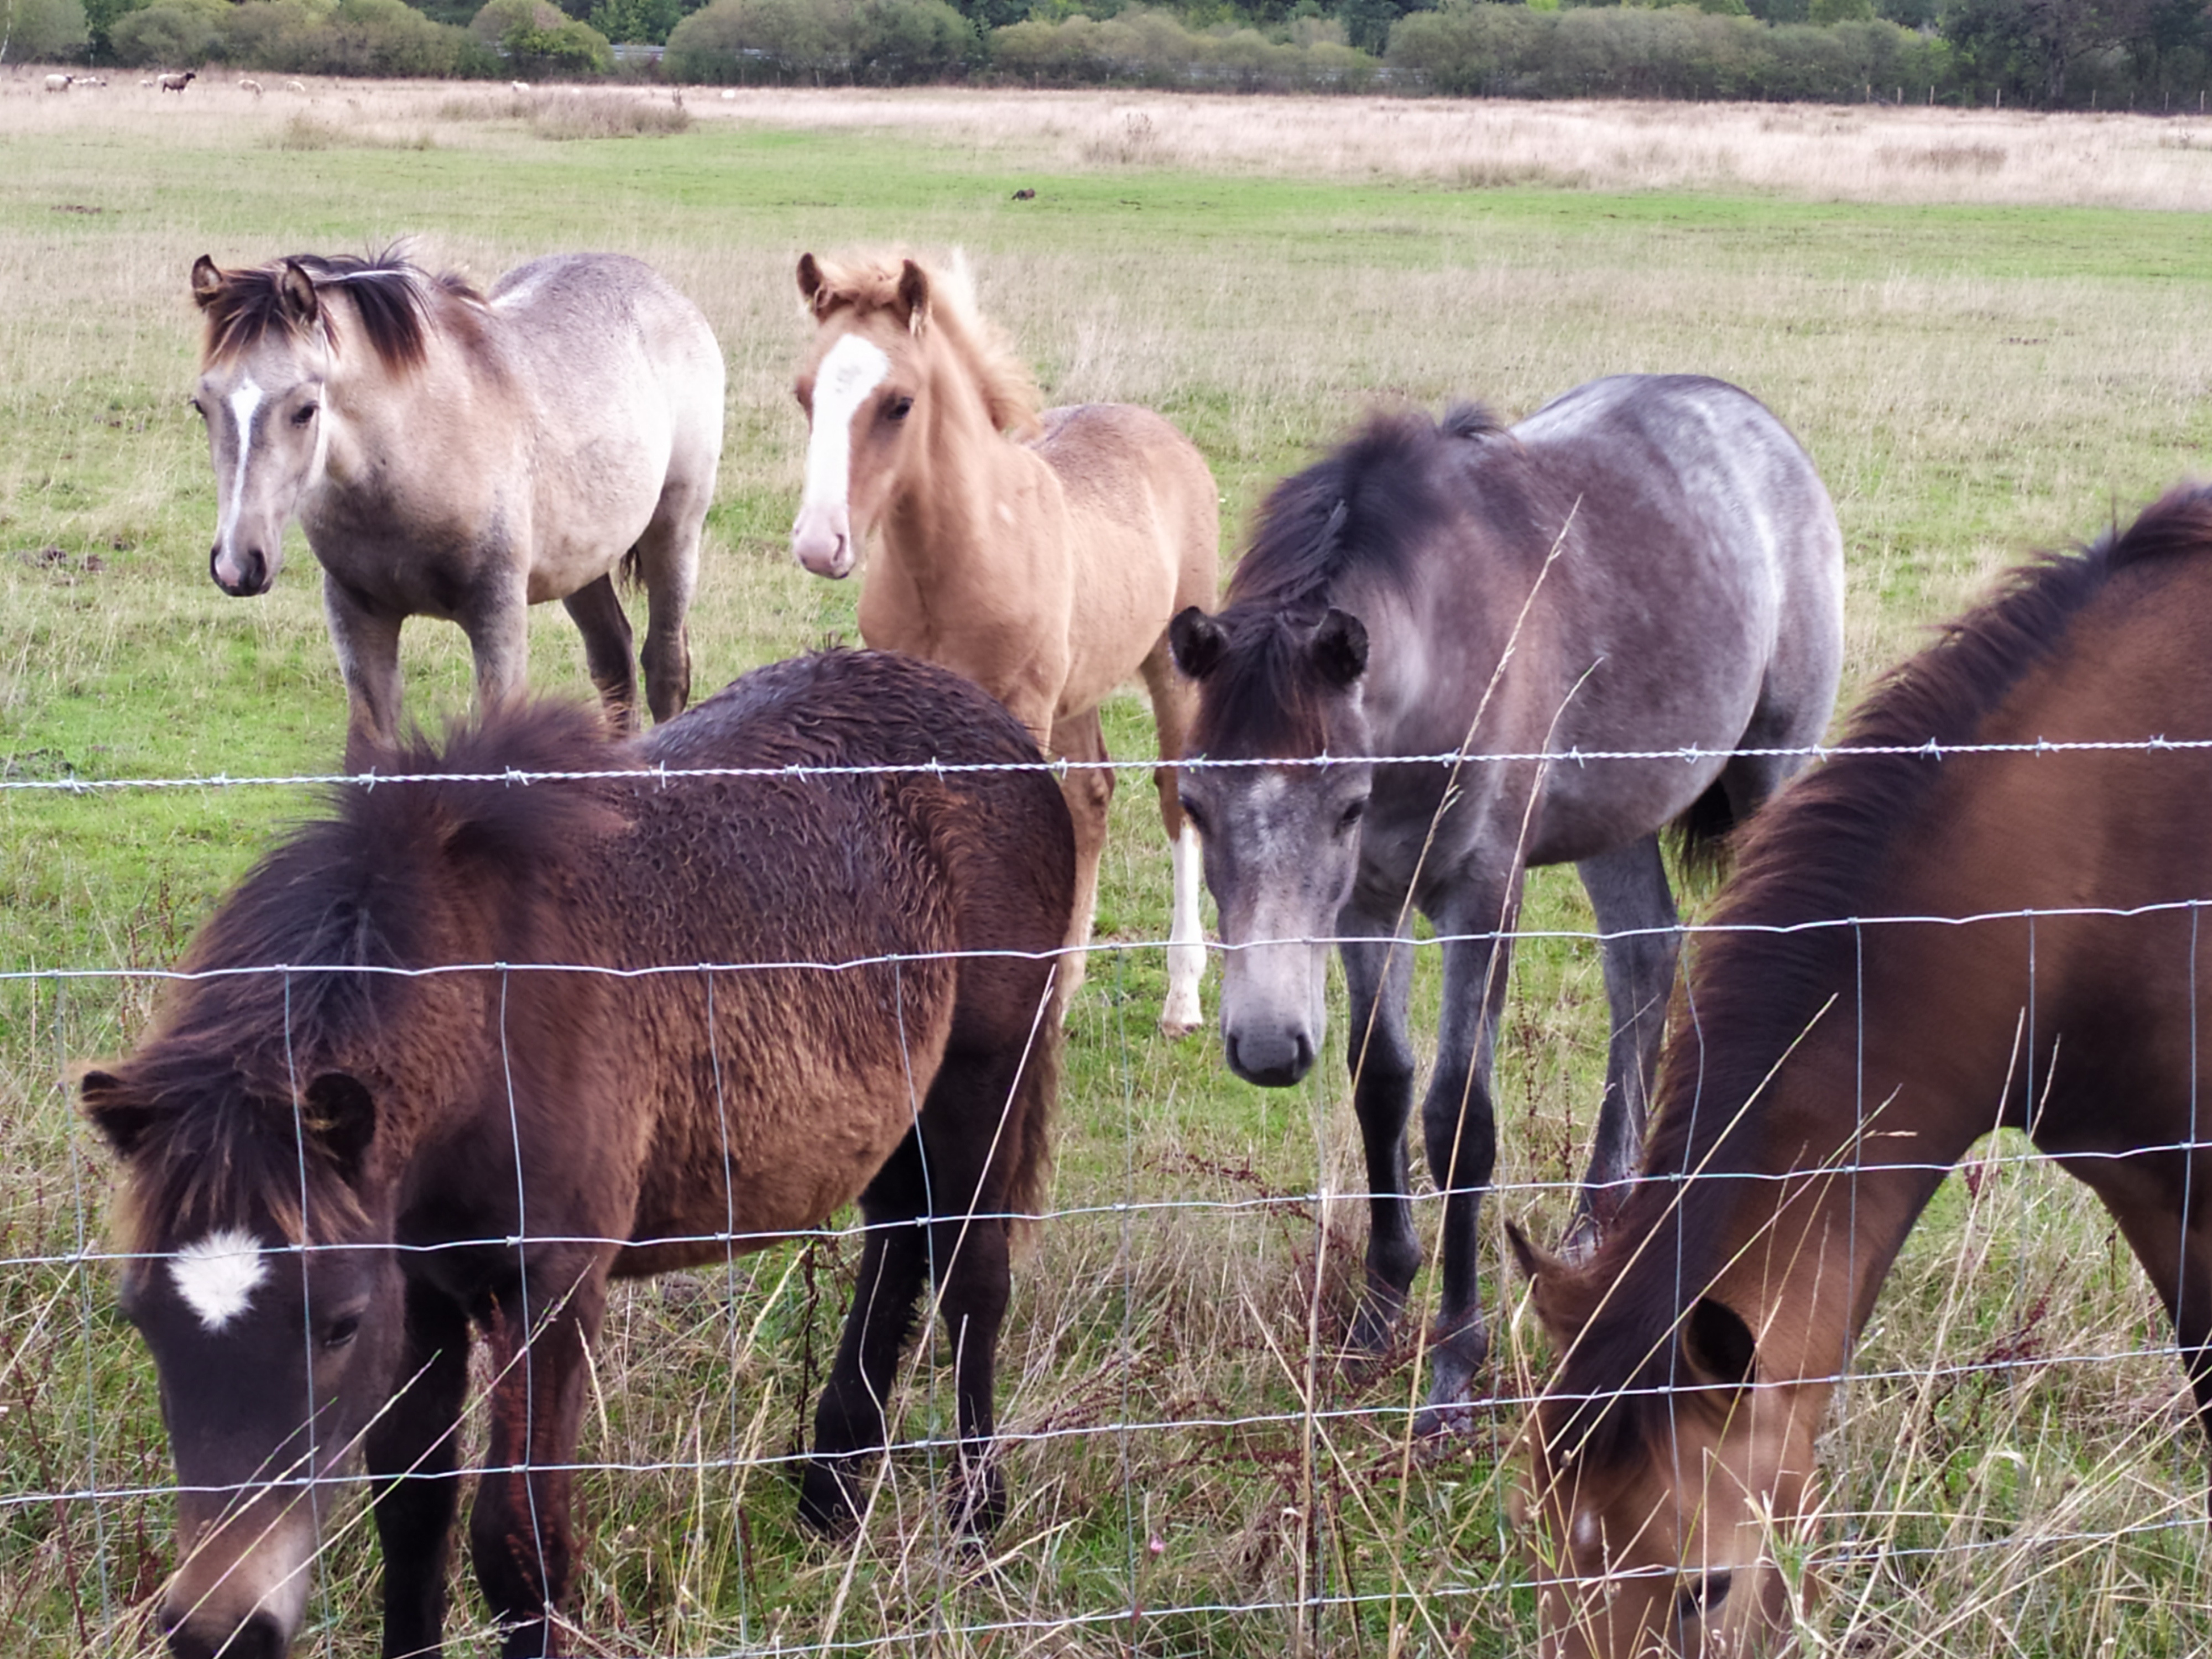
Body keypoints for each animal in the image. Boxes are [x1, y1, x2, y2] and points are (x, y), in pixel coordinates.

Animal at [81, 650, 1073, 1659]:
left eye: (339, 1325)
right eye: (140, 1319)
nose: (220, 1628)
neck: (484, 1006)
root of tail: (997, 725)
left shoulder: (551, 1287)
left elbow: (519, 1543)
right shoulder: (421, 1285)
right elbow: (412, 1512)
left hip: (984, 1078)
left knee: (972, 1275)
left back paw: (973, 1525)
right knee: (901, 1237)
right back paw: (830, 1493)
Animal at [188, 248, 724, 746]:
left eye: (305, 410)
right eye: (201, 406)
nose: (237, 564)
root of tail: (662, 291)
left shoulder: (497, 615)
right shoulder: (357, 615)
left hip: (674, 531)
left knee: (664, 668)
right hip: (584, 562)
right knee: (614, 662)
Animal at [789, 251, 1218, 1035]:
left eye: (899, 403)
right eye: (804, 395)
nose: (818, 543)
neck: (954, 560)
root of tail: (1164, 433)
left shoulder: (1020, 710)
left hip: (1171, 664)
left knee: (1174, 793)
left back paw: (1181, 997)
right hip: (1079, 683)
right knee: (1092, 797)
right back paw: (1065, 983)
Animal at [1167, 378, 1843, 1428]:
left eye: (1346, 804)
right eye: (1196, 805)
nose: (1268, 1048)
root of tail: (1755, 421)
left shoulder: (1480, 895)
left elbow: (1458, 1120)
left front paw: (1455, 1364)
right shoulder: (1368, 903)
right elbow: (1380, 1086)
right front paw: (1375, 1317)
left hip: (1771, 772)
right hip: (1619, 817)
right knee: (1643, 960)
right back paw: (1602, 1223)